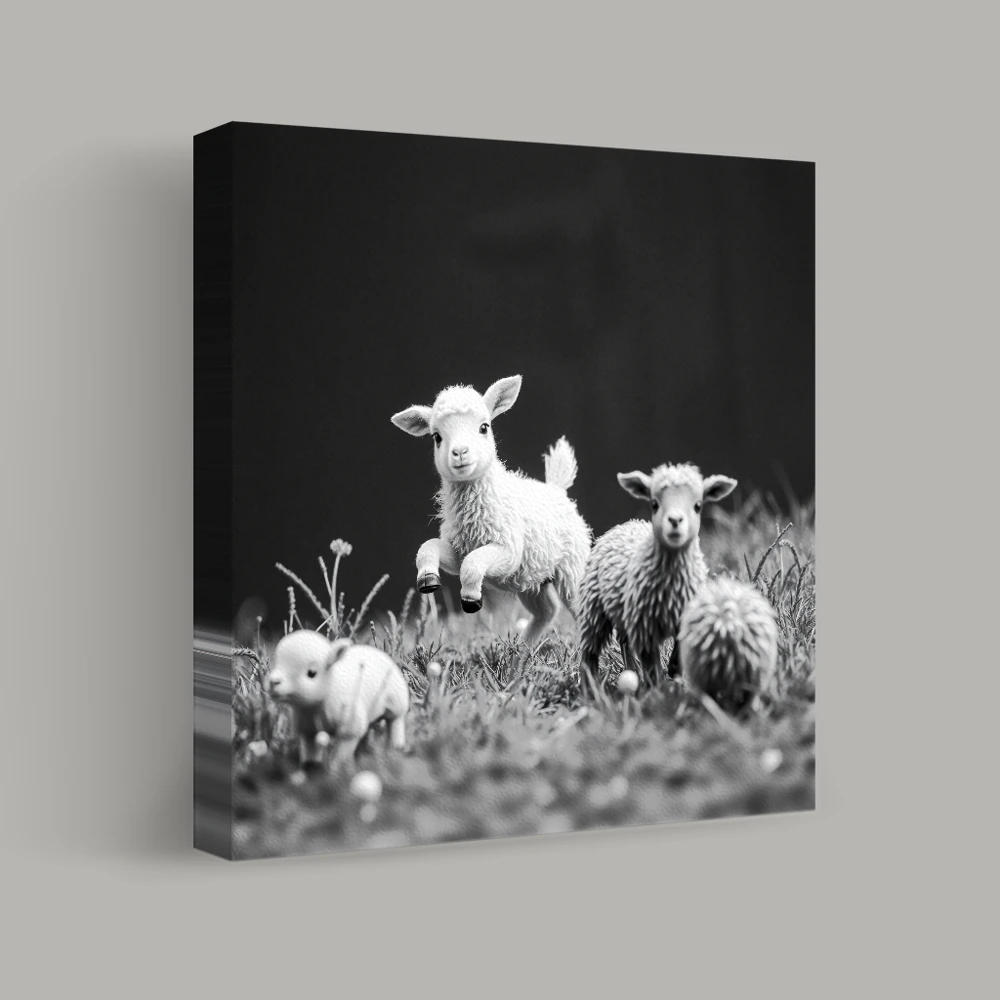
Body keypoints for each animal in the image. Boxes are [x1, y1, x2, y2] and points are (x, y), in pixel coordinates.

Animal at [265, 630, 410, 769]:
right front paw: (310, 767)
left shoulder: (349, 727)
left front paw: (337, 771)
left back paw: (395, 750)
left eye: (312, 673)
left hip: (397, 701)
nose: (273, 682)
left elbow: (341, 755)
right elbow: (309, 750)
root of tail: (374, 650)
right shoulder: (307, 728)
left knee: (395, 722)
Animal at [391, 375, 592, 648]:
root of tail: (556, 489)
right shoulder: (459, 550)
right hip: (534, 578)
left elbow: (474, 565)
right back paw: (522, 652)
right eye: (436, 437)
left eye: (484, 427)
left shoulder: (508, 551)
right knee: (547, 610)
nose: (460, 453)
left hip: (572, 568)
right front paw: (427, 579)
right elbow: (429, 547)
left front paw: (471, 598)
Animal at [577, 463, 737, 684]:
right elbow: (652, 667)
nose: (675, 520)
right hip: (594, 609)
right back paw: (590, 685)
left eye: (698, 505)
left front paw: (675, 677)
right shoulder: (644, 628)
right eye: (654, 504)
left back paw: (632, 672)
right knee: (590, 652)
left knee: (624, 641)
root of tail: (625, 524)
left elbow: (677, 658)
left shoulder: (683, 618)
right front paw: (659, 688)